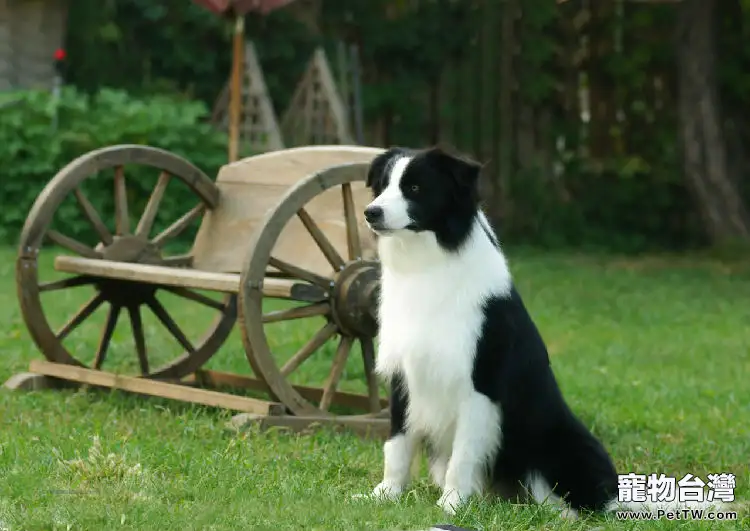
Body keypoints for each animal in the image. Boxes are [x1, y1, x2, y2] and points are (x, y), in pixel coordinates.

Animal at [364, 147, 724, 520]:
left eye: (415, 188)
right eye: (383, 185)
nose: (370, 212)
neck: (429, 264)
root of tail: (617, 494)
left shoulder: (480, 384)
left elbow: (463, 455)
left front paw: (451, 504)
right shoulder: (404, 374)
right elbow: (397, 444)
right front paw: (385, 495)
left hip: (560, 444)